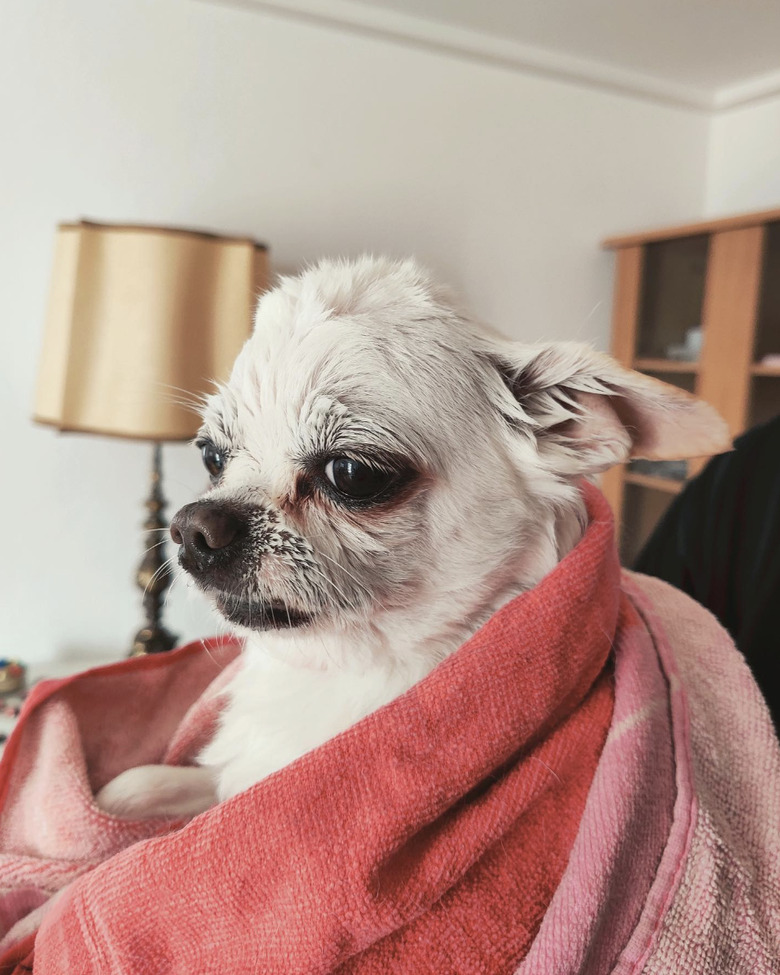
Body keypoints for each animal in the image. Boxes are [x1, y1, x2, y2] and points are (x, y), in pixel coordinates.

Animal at [0, 488, 776, 975]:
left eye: (348, 477)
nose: (191, 526)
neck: (341, 667)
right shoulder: (240, 769)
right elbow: (143, 784)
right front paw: (107, 811)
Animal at [96, 255, 724, 820]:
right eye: (211, 456)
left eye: (351, 472)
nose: (192, 527)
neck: (343, 673)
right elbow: (154, 785)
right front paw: (125, 794)